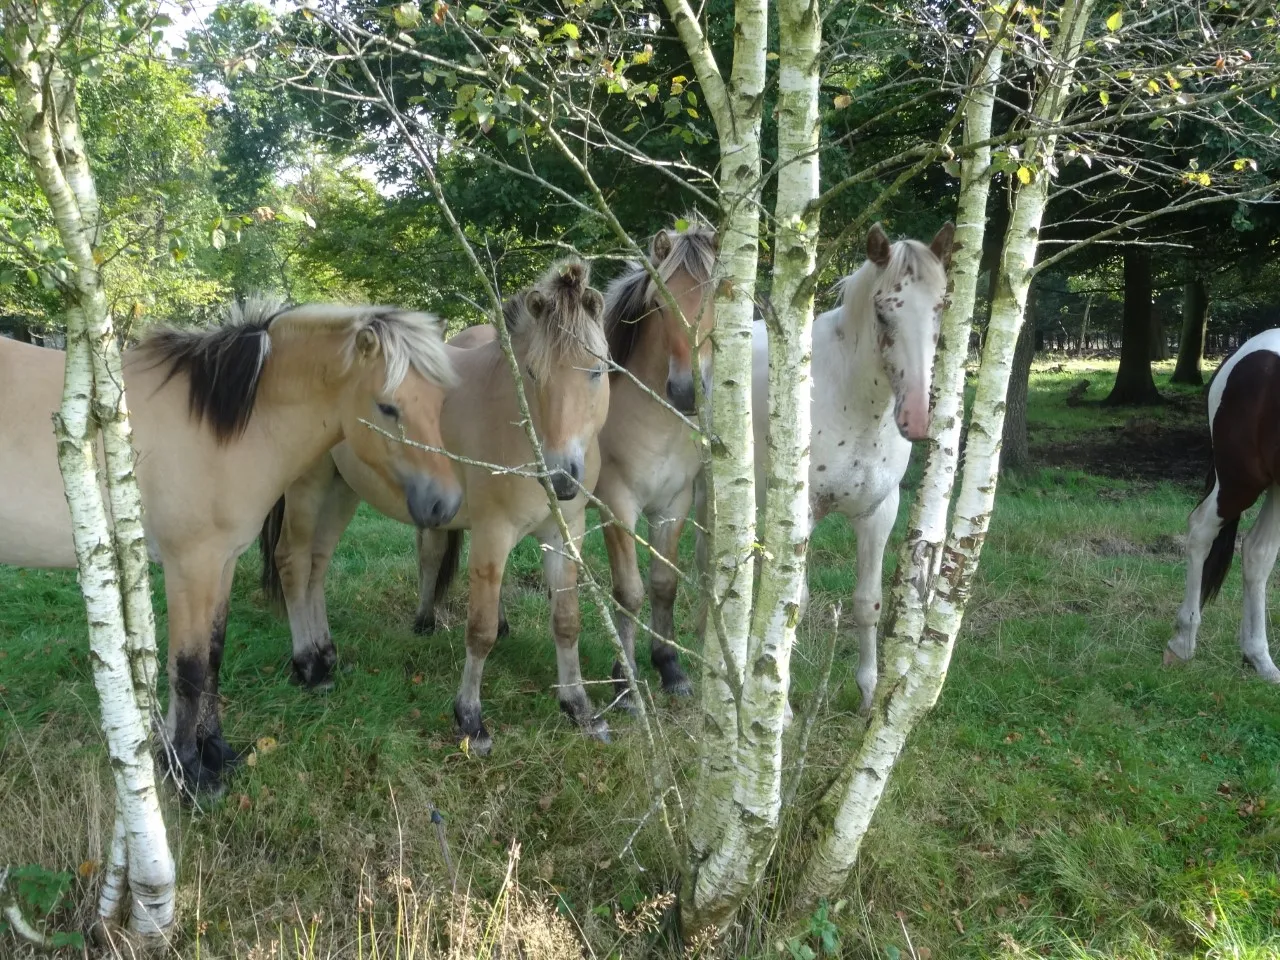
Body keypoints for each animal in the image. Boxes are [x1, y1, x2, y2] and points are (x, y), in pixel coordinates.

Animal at [0, 302, 460, 798]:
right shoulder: (190, 567)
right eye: (388, 407)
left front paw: (216, 752)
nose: (447, 503)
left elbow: (214, 657)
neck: (219, 429)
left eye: (440, 403)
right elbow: (189, 669)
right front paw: (188, 772)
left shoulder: (223, 562)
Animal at [258, 259, 609, 757]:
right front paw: (471, 720)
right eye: (532, 373)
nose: (561, 476)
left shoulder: (566, 534)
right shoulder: (492, 536)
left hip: (343, 491)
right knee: (292, 562)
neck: (517, 422)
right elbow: (480, 631)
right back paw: (307, 666)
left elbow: (566, 622)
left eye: (597, 370)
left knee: (316, 566)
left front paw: (579, 708)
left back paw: (327, 658)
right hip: (308, 488)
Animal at [591, 217, 716, 701]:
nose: (685, 392)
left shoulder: (674, 504)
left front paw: (670, 668)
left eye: (718, 297)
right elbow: (629, 592)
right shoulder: (617, 504)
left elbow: (665, 584)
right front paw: (624, 683)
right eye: (660, 304)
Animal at [752, 221, 957, 711]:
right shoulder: (803, 513)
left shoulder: (878, 512)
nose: (916, 418)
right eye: (883, 313)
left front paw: (867, 693)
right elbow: (792, 604)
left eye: (941, 307)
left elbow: (868, 602)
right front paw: (782, 706)